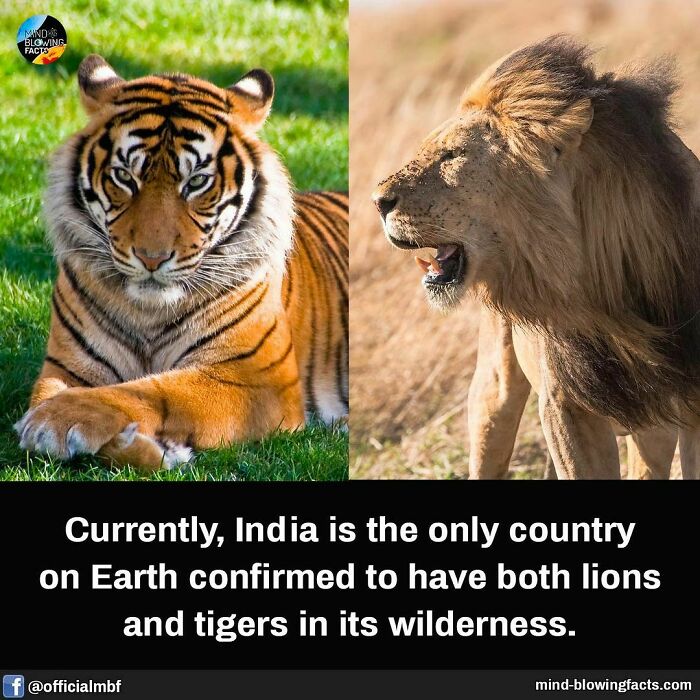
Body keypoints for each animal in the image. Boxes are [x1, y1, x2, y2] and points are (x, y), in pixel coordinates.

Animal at [14, 54, 348, 472]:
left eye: (197, 182)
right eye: (124, 177)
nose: (151, 258)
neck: (148, 312)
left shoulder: (256, 380)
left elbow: (157, 391)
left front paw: (56, 421)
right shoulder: (66, 366)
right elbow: (45, 394)